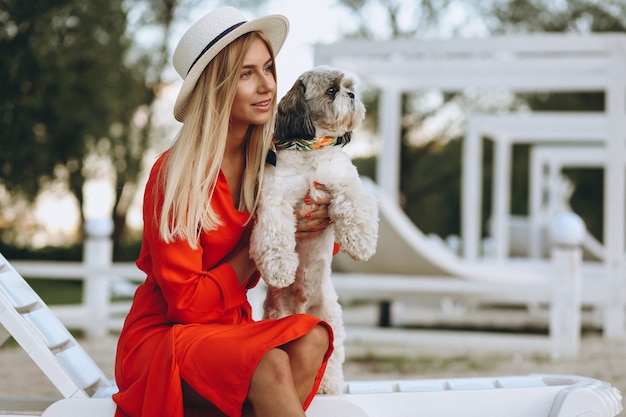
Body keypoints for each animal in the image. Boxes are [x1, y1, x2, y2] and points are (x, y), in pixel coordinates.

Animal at [247, 65, 376, 394]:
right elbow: (275, 235)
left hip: (331, 319)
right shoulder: (275, 198)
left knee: (332, 356)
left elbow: (356, 207)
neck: (311, 151)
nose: (351, 95)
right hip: (278, 315)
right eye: (332, 91)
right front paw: (280, 267)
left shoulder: (344, 181)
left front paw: (361, 243)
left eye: (350, 87)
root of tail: (304, 307)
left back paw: (327, 385)